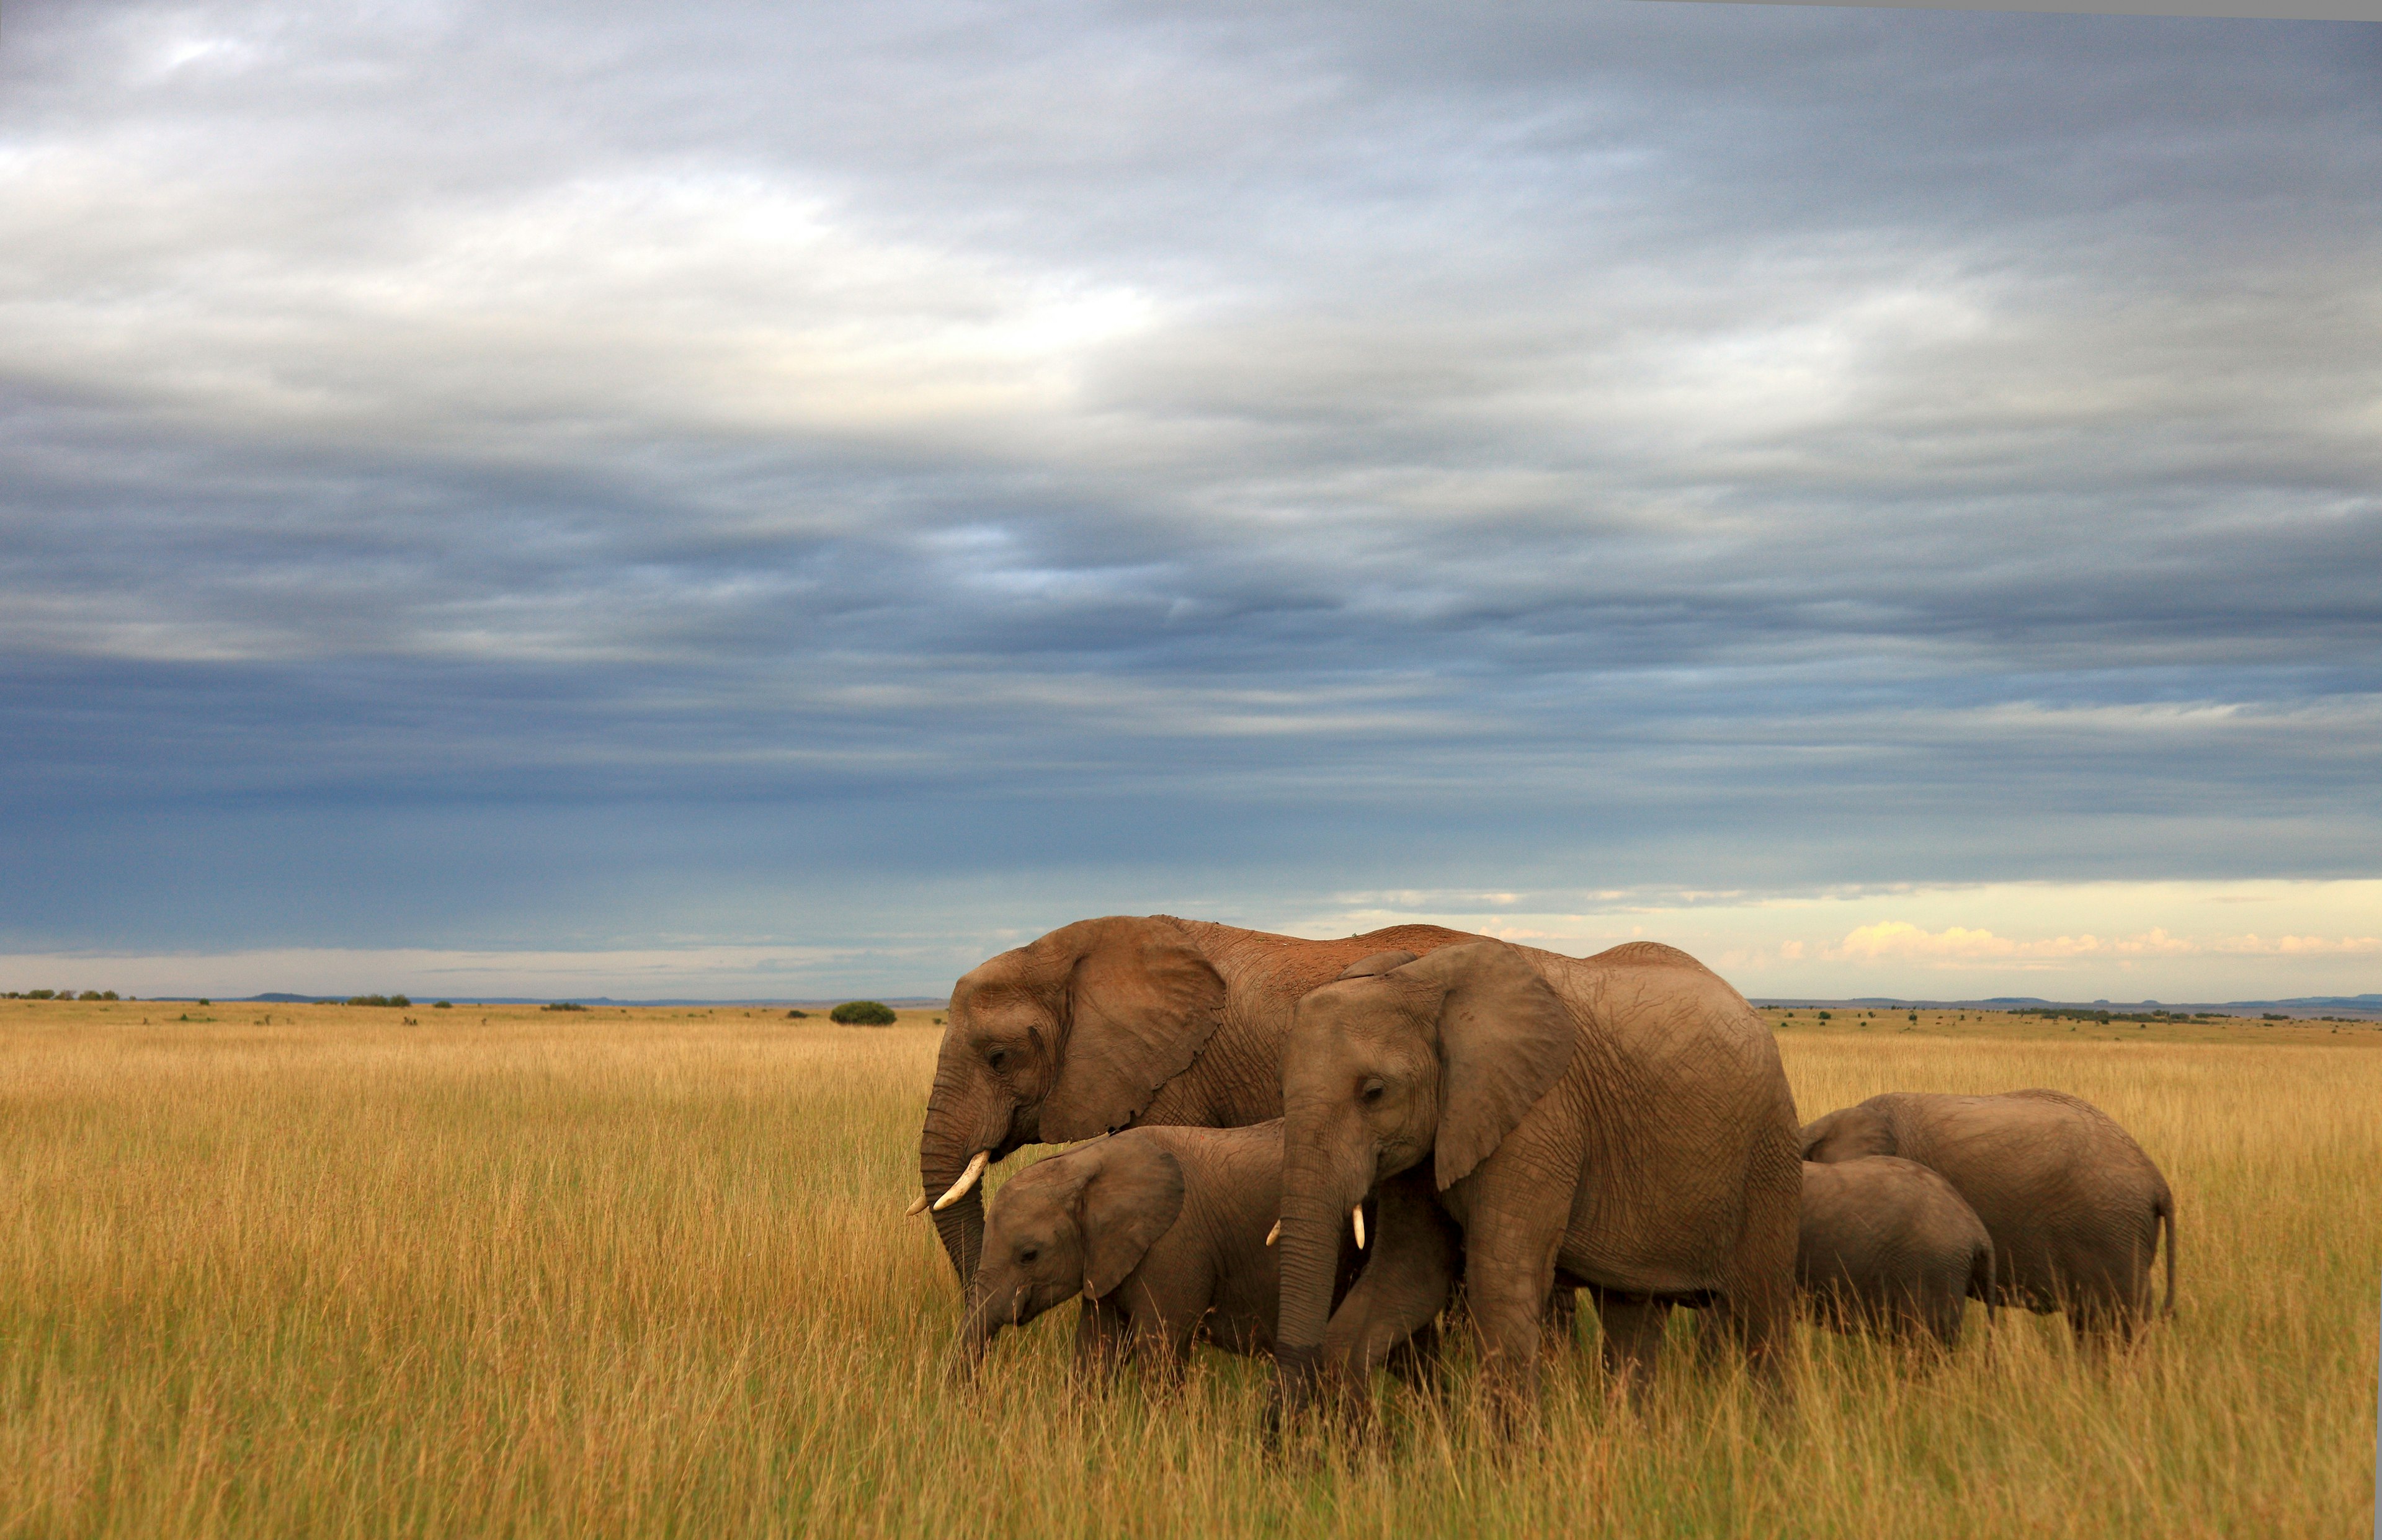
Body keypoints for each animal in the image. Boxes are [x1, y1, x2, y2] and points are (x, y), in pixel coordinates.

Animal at [948, 1118, 1448, 1390]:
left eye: (1029, 1255)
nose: (974, 1404)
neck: (1089, 1162)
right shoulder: (1108, 1258)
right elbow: (1095, 1353)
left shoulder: (1173, 1246)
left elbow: (1159, 1353)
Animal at [1277, 933, 1791, 1418]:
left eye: (1374, 1092)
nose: (1287, 1418)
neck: (1419, 981)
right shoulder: (1433, 1137)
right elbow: (1408, 1273)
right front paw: (1360, 1433)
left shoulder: (1539, 1118)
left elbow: (1499, 1285)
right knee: (1632, 1317)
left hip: (1766, 1151)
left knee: (1760, 1317)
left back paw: (1774, 1435)